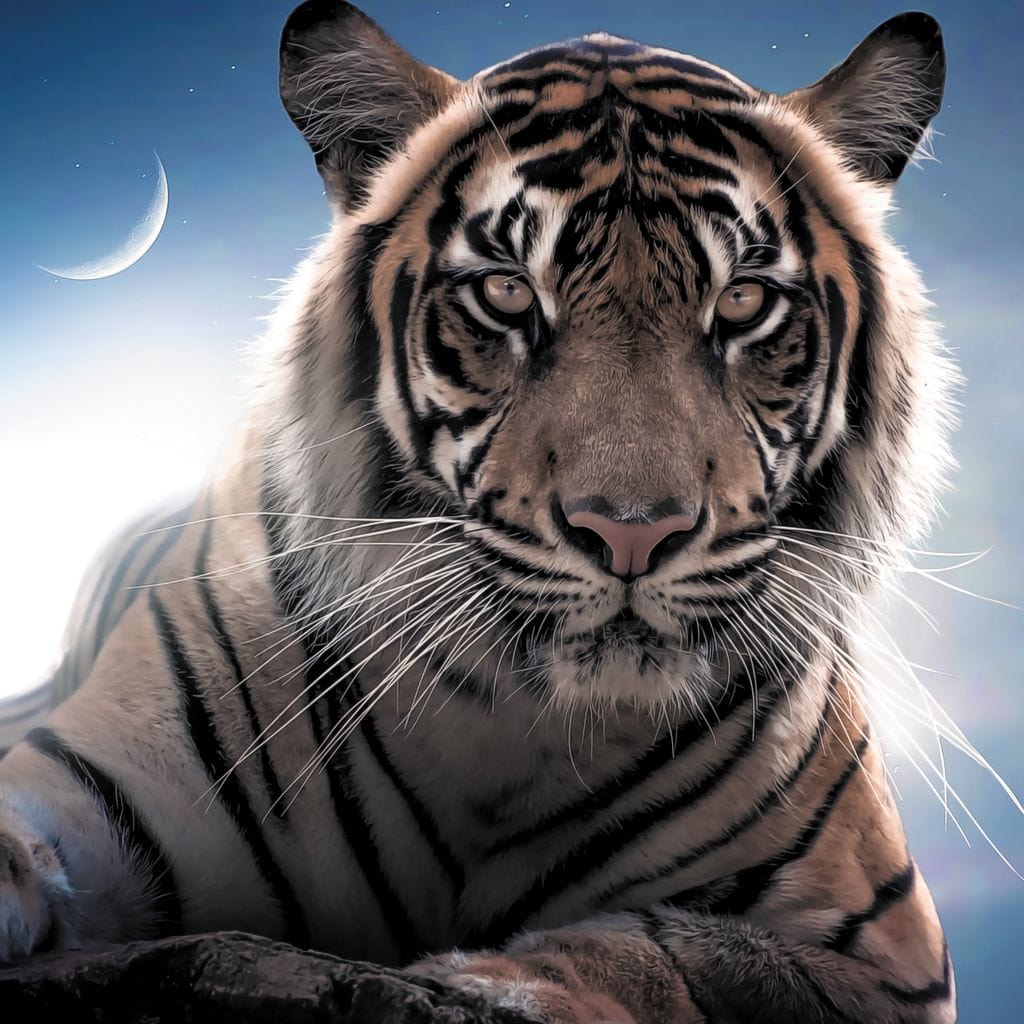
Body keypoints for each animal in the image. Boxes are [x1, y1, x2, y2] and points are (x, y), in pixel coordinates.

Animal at [0, 1, 959, 1021]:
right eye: (506, 292)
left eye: (741, 301)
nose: (633, 532)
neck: (508, 726)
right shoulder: (93, 792)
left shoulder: (885, 952)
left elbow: (678, 952)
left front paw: (496, 980)